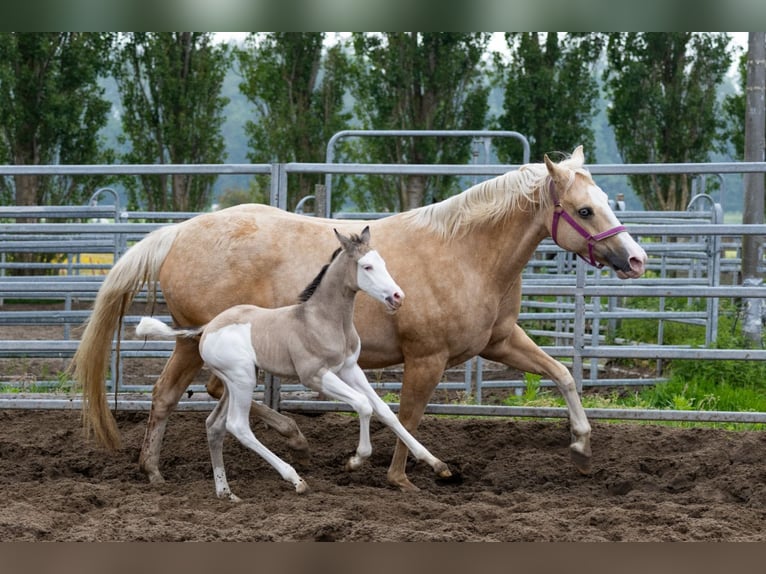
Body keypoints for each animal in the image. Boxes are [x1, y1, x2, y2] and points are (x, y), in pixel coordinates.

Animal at [136, 227, 452, 502]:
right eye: (367, 267)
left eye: (383, 263)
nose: (398, 297)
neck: (321, 320)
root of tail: (206, 328)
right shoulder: (313, 376)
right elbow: (363, 405)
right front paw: (355, 460)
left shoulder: (350, 368)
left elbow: (385, 411)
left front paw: (436, 463)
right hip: (242, 379)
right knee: (238, 426)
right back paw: (295, 479)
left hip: (235, 381)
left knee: (215, 426)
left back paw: (226, 493)